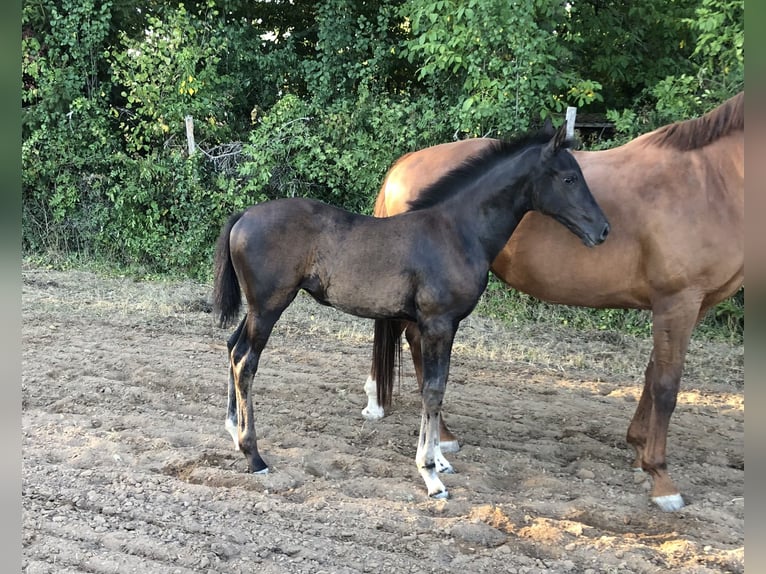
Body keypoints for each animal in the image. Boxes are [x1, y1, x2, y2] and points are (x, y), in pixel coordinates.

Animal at [212, 123, 610, 499]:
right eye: (570, 178)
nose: (603, 230)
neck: (456, 232)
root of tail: (243, 215)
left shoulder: (438, 326)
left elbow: (435, 386)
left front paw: (439, 461)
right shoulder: (438, 323)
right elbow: (433, 389)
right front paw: (431, 474)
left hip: (258, 306)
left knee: (232, 346)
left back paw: (232, 430)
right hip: (269, 306)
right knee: (245, 361)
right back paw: (254, 455)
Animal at [360, 91, 744, 511]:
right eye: (569, 179)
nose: (603, 230)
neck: (708, 182)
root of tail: (404, 164)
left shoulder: (690, 305)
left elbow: (652, 373)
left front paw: (639, 449)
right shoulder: (678, 300)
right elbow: (667, 386)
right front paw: (662, 480)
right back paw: (439, 439)